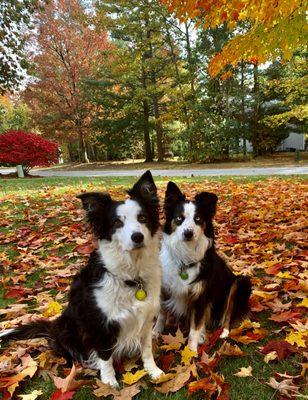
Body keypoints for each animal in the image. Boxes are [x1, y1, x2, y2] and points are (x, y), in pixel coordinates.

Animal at [0, 170, 164, 386]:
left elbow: (146, 349)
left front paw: (153, 370)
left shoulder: (146, 318)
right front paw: (109, 381)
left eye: (142, 217)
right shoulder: (98, 324)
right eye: (117, 223)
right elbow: (105, 355)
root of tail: (54, 327)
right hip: (68, 330)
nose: (137, 237)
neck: (131, 275)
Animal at [153, 183, 251, 352]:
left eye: (197, 219)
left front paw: (191, 352)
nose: (188, 233)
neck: (185, 256)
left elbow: (195, 328)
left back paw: (223, 331)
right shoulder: (165, 287)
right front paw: (155, 332)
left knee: (227, 313)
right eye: (179, 219)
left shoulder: (200, 297)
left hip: (241, 283)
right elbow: (162, 313)